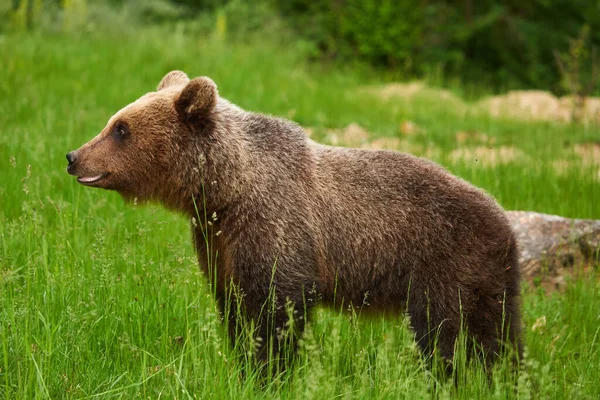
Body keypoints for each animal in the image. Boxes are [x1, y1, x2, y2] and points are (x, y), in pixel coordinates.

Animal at [65, 70, 520, 370]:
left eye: (121, 128)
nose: (73, 156)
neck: (226, 191)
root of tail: (503, 218)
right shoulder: (217, 240)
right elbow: (235, 306)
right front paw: (243, 363)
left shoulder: (276, 226)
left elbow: (277, 309)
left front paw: (269, 370)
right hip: (488, 280)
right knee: (499, 336)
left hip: (445, 265)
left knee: (447, 335)